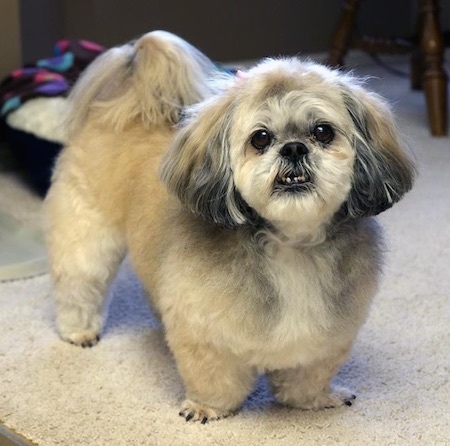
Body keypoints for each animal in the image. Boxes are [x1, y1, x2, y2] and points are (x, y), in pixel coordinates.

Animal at [44, 30, 414, 422]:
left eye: (323, 132)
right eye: (261, 138)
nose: (294, 148)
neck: (291, 243)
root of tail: (132, 107)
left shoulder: (325, 340)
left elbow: (307, 377)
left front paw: (316, 398)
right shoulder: (204, 334)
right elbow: (214, 377)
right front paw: (206, 407)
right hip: (87, 234)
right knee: (80, 283)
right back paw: (79, 330)